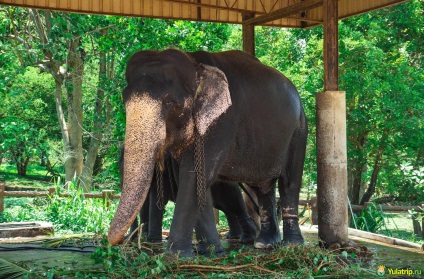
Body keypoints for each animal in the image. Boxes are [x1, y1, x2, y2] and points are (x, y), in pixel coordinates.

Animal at [119, 147, 258, 245]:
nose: (127, 239)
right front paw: (144, 238)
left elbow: (157, 199)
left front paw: (152, 241)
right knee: (226, 207)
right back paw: (233, 236)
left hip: (223, 184)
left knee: (232, 202)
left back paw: (246, 239)